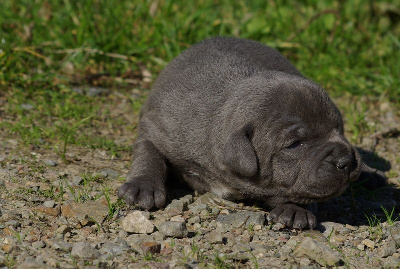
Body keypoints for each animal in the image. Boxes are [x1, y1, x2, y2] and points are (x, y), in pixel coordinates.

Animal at [119, 36, 366, 228]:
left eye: (339, 128)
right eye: (295, 144)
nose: (347, 161)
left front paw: (294, 210)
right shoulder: (156, 125)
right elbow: (148, 152)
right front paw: (143, 186)